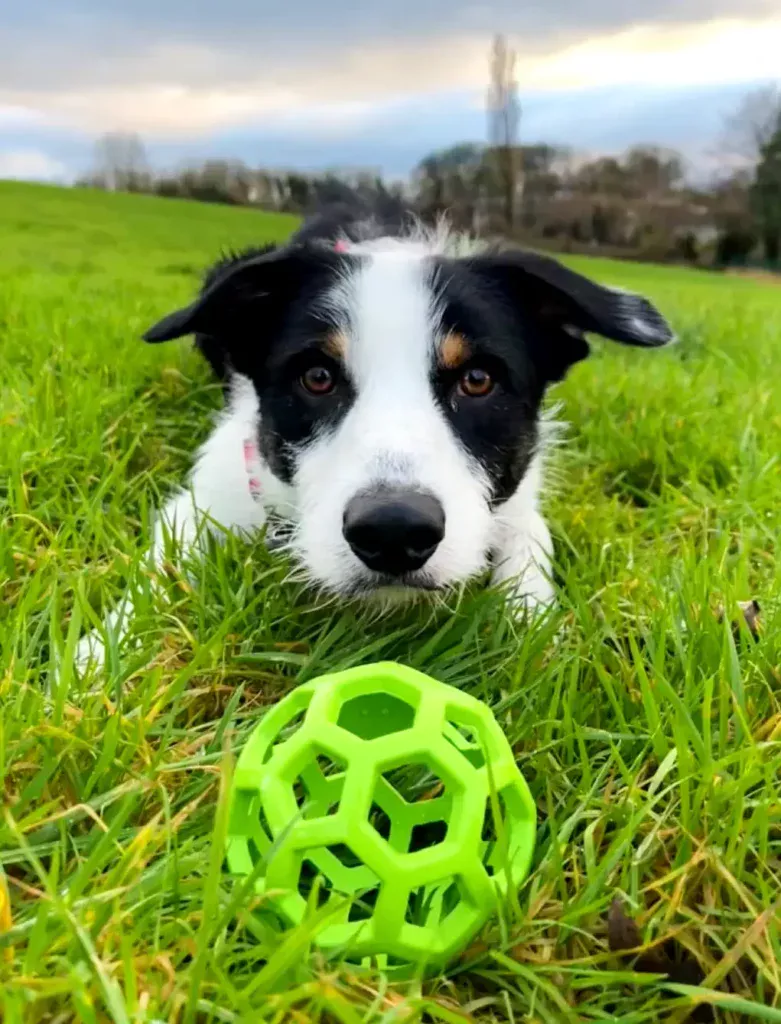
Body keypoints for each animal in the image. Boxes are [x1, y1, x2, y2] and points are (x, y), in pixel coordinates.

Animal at [77, 202, 671, 667]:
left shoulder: (518, 503)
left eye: (478, 380)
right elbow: (156, 572)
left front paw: (532, 631)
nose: (393, 530)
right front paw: (98, 657)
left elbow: (528, 559)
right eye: (317, 377)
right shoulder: (209, 497)